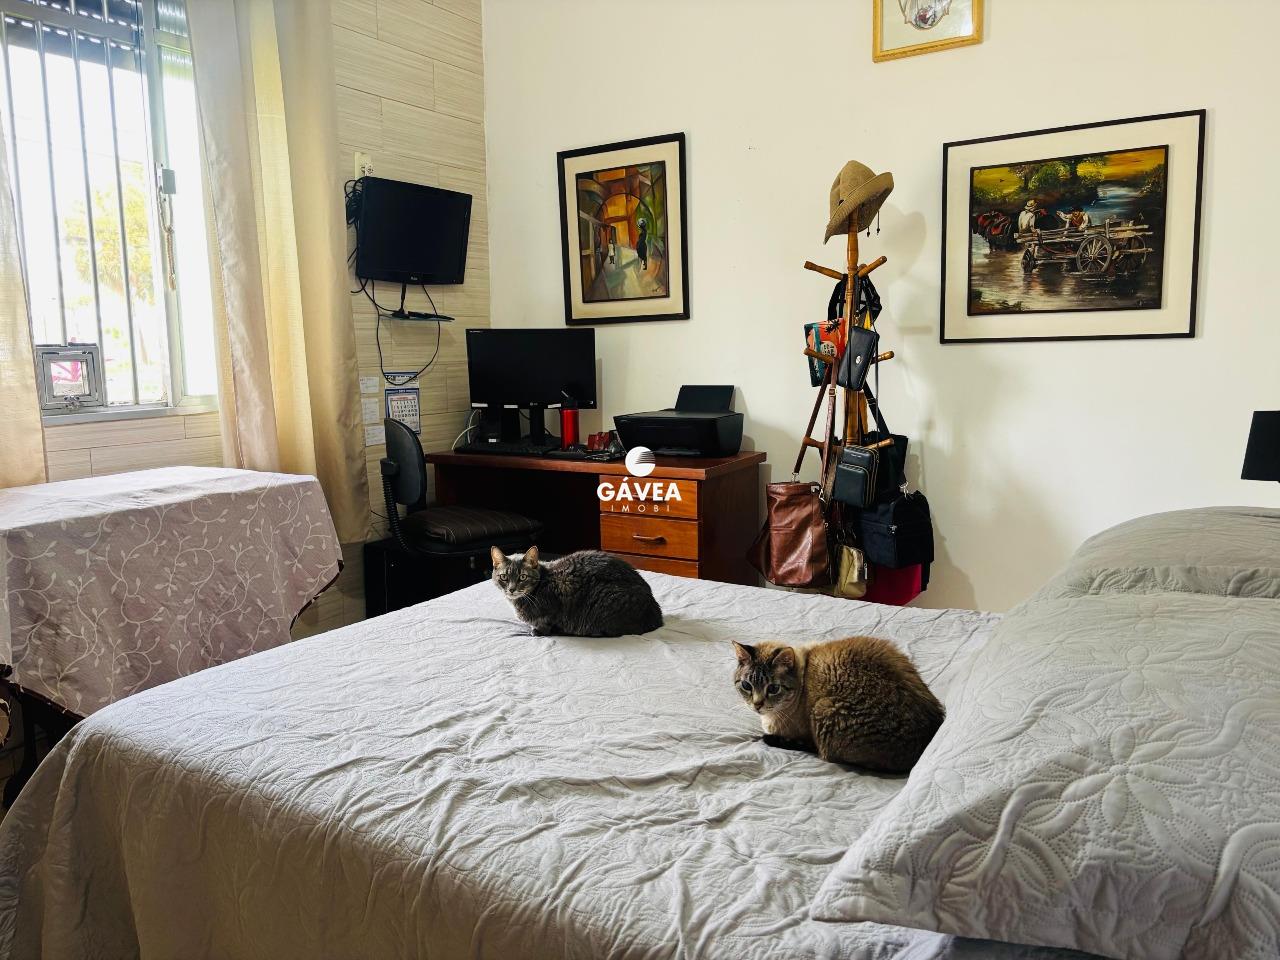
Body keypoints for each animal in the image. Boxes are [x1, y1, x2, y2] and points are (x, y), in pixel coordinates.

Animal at [490, 546, 664, 637]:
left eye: (522, 577)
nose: (511, 589)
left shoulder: (554, 607)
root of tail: (657, 615)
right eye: (504, 577)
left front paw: (539, 631)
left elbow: (546, 622)